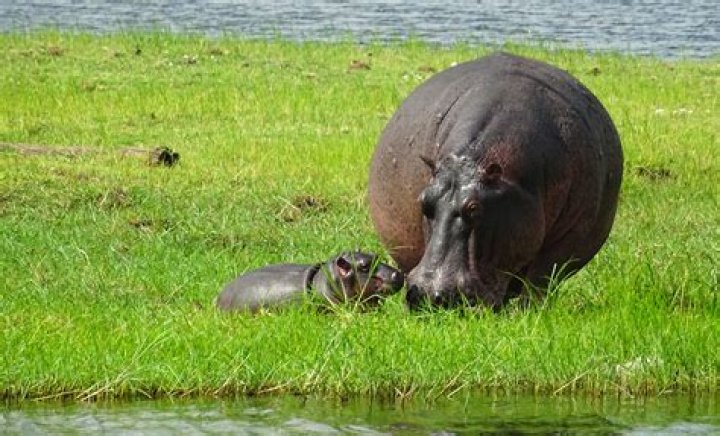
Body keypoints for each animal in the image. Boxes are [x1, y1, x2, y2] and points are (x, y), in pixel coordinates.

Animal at [368, 52, 623, 309]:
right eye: (423, 201)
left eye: (474, 207)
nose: (428, 293)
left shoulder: (571, 234)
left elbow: (541, 278)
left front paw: (528, 311)